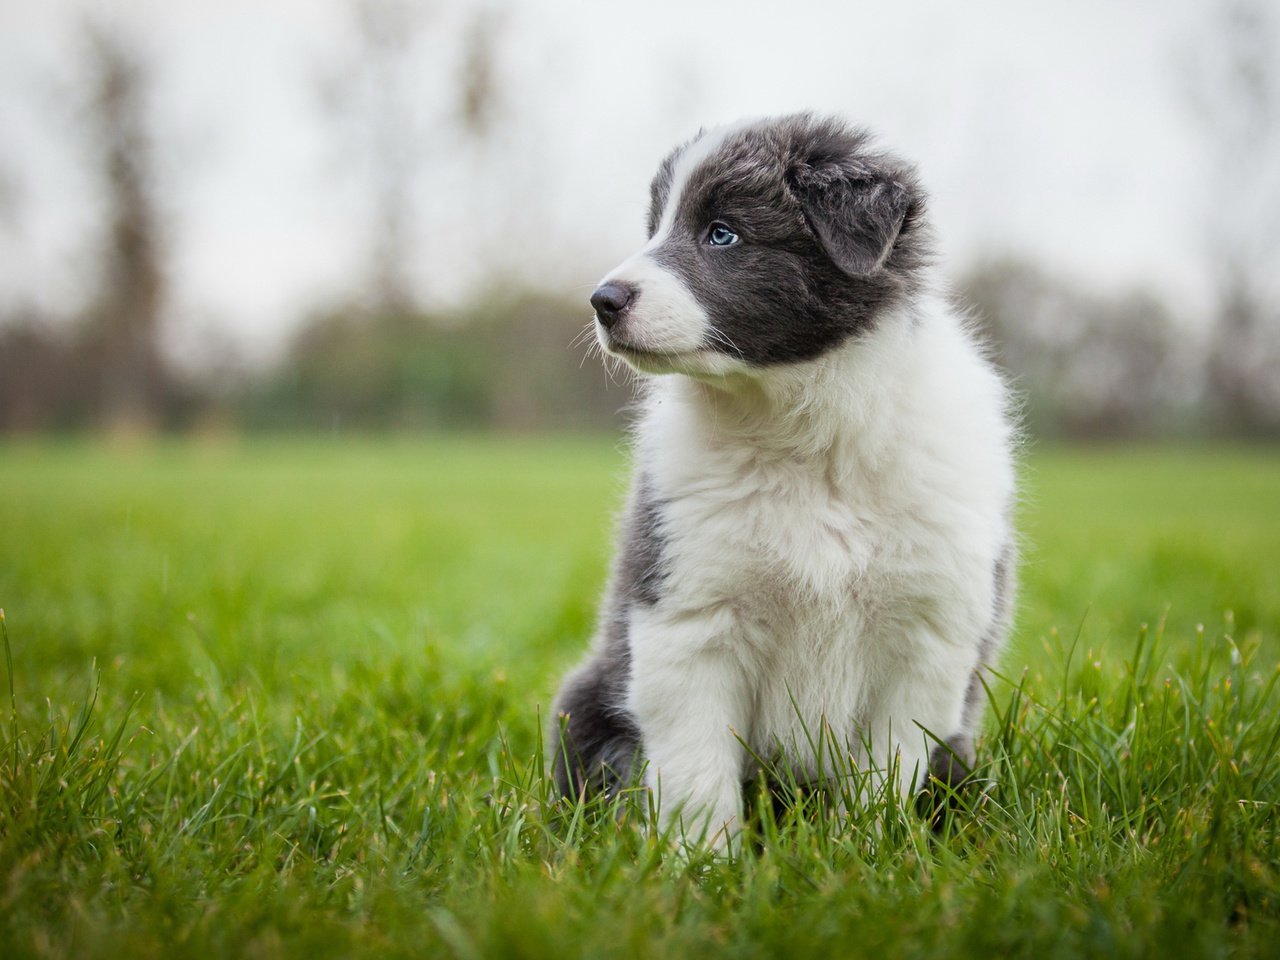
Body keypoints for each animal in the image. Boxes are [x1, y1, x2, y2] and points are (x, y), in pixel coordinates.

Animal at [550, 114, 1018, 849]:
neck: (802, 431)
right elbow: (697, 774)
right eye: (655, 227)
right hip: (588, 704)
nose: (602, 301)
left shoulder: (926, 641)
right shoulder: (689, 619)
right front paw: (701, 863)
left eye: (722, 233)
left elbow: (883, 775)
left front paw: (864, 855)